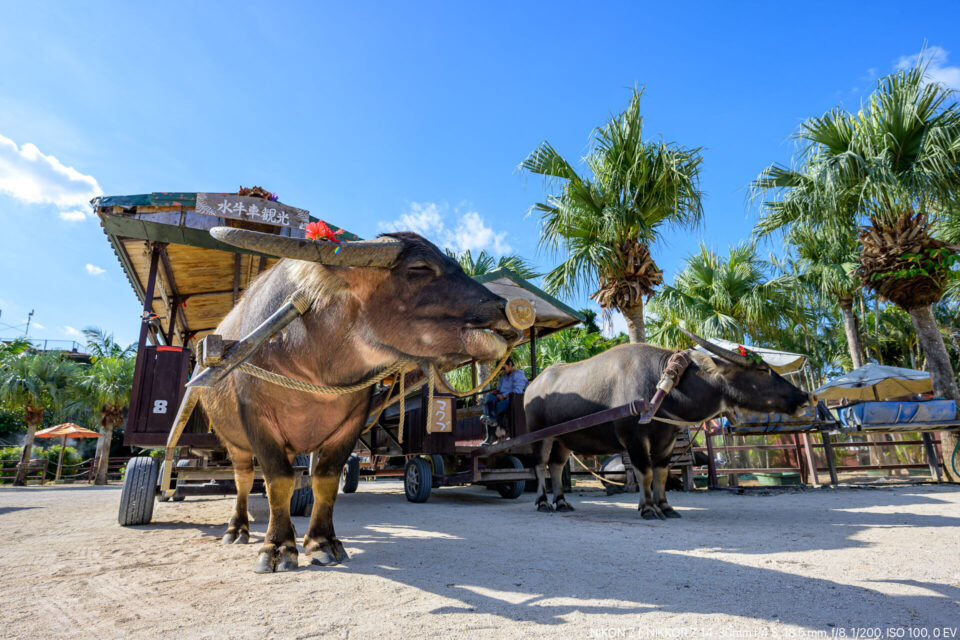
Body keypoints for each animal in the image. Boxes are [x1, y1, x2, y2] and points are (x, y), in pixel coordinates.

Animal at [201, 231, 516, 576]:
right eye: (419, 268)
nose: (504, 306)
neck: (312, 355)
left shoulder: (351, 424)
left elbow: (325, 480)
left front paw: (322, 543)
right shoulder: (257, 421)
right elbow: (279, 480)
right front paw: (278, 547)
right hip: (233, 441)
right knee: (243, 480)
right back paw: (236, 529)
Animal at [520, 336, 812, 520]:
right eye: (763, 370)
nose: (805, 397)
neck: (664, 386)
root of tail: (532, 387)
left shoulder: (667, 440)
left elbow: (660, 474)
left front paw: (665, 507)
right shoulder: (634, 439)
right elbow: (645, 473)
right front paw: (648, 508)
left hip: (562, 439)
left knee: (556, 466)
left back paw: (561, 502)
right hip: (539, 435)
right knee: (540, 465)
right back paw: (543, 502)